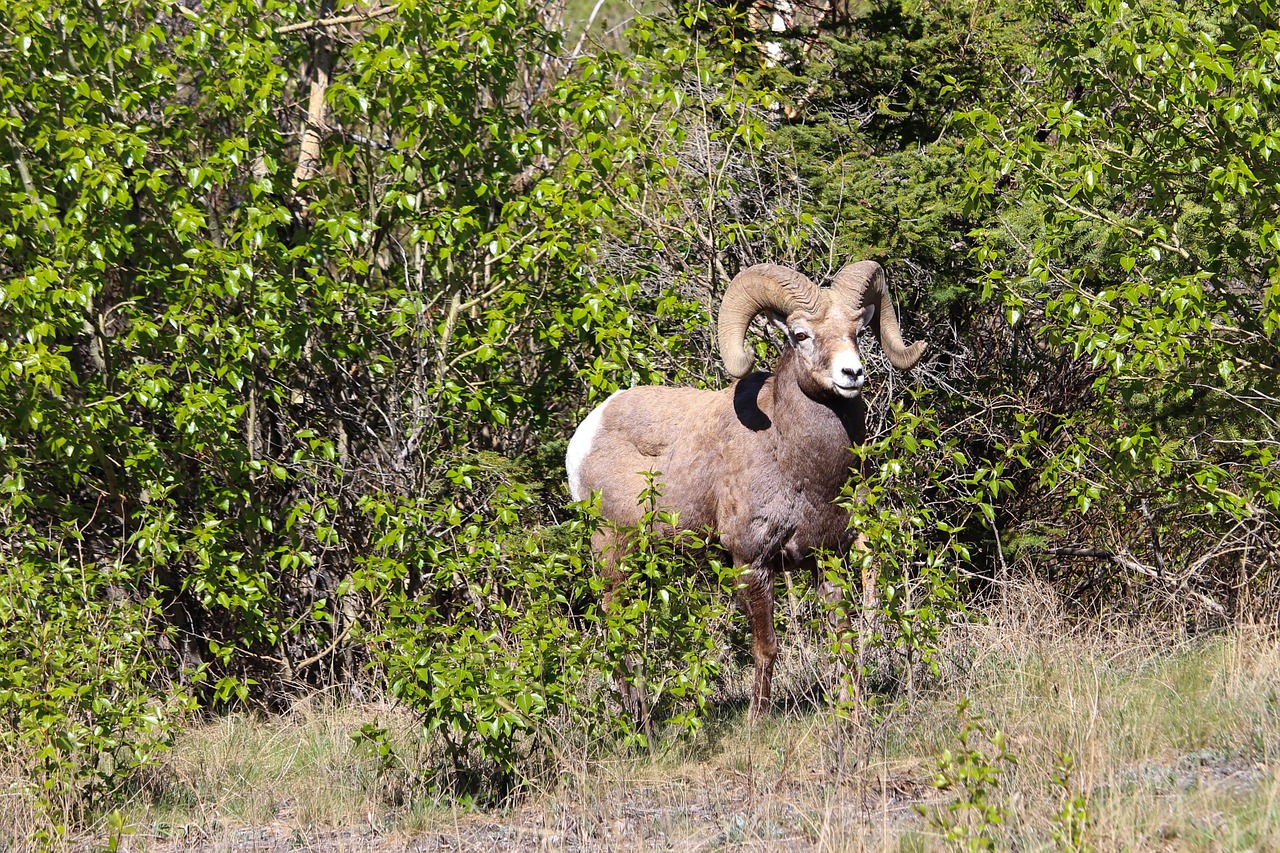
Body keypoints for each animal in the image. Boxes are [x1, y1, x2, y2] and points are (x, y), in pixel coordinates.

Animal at [565, 258, 926, 717]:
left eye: (857, 332)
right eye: (800, 335)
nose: (852, 374)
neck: (804, 471)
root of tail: (587, 434)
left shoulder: (827, 558)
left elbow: (842, 636)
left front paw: (850, 708)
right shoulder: (751, 562)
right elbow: (766, 648)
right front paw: (758, 717)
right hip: (613, 554)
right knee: (615, 629)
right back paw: (635, 719)